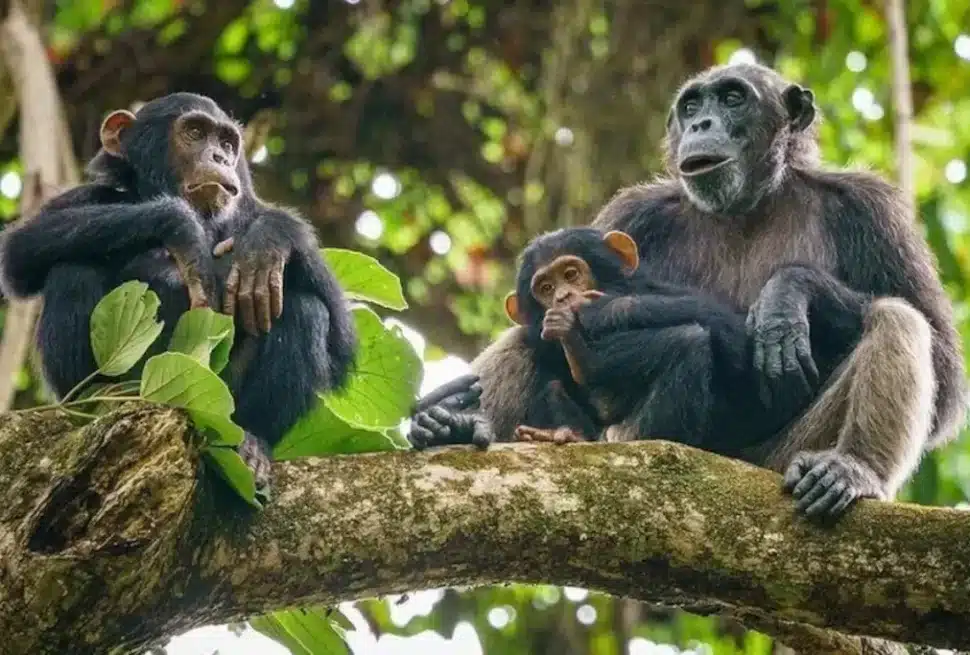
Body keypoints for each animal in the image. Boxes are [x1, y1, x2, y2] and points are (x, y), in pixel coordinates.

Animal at [408, 63, 967, 519]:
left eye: (733, 98)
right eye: (692, 105)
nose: (701, 125)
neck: (746, 204)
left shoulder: (872, 207)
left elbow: (944, 367)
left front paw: (786, 294)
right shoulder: (631, 212)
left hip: (780, 460)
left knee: (897, 318)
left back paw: (850, 469)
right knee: (527, 344)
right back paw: (451, 425)